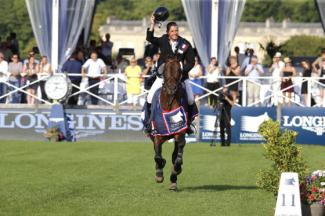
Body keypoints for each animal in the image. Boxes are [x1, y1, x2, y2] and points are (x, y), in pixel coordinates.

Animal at [147, 57, 186, 191]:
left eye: (179, 70)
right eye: (165, 70)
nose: (172, 89)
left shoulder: (180, 132)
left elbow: (177, 158)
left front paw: (176, 171)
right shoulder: (157, 135)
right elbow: (157, 155)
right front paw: (159, 172)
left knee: (176, 153)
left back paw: (174, 178)